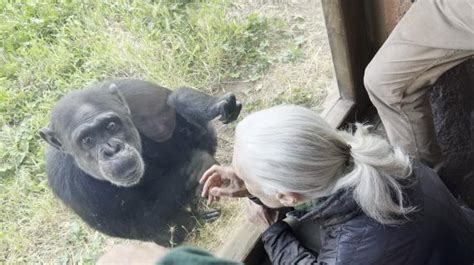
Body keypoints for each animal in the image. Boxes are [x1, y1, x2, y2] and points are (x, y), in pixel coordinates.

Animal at [39, 79, 243, 245]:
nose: (112, 149)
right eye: (87, 140)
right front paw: (196, 165)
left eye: (111, 126)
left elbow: (169, 104)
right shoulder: (71, 186)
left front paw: (214, 105)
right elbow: (139, 222)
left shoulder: (136, 95)